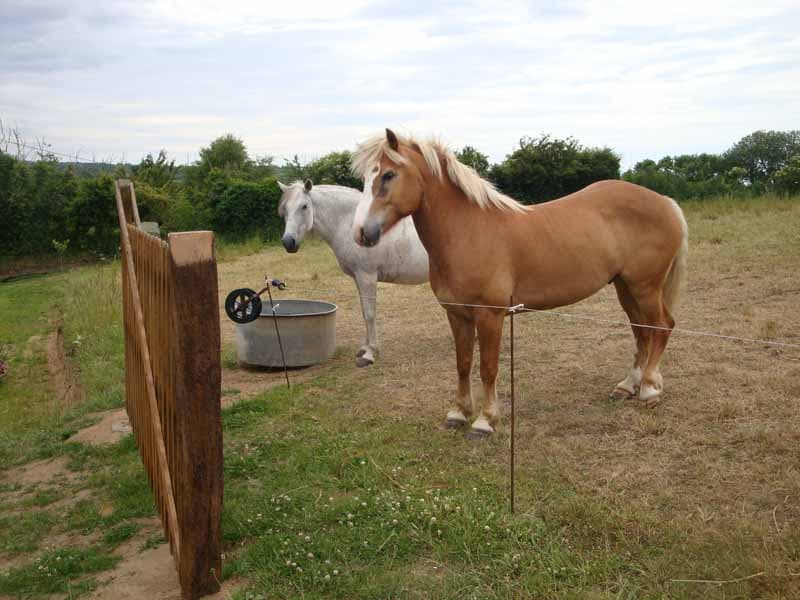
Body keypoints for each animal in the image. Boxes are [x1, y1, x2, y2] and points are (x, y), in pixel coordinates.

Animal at [277, 179, 429, 367]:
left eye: (304, 206)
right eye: (285, 208)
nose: (288, 242)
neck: (350, 223)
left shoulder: (367, 277)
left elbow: (370, 314)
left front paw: (370, 354)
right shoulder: (358, 278)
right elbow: (364, 313)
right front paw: (365, 348)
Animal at [351, 129, 688, 438]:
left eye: (388, 175)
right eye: (366, 178)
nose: (361, 233)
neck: (469, 231)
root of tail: (665, 201)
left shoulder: (490, 315)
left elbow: (488, 368)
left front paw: (485, 421)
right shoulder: (457, 314)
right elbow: (463, 363)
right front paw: (459, 413)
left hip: (645, 287)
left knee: (660, 326)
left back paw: (649, 391)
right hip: (625, 287)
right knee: (642, 332)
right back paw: (628, 386)